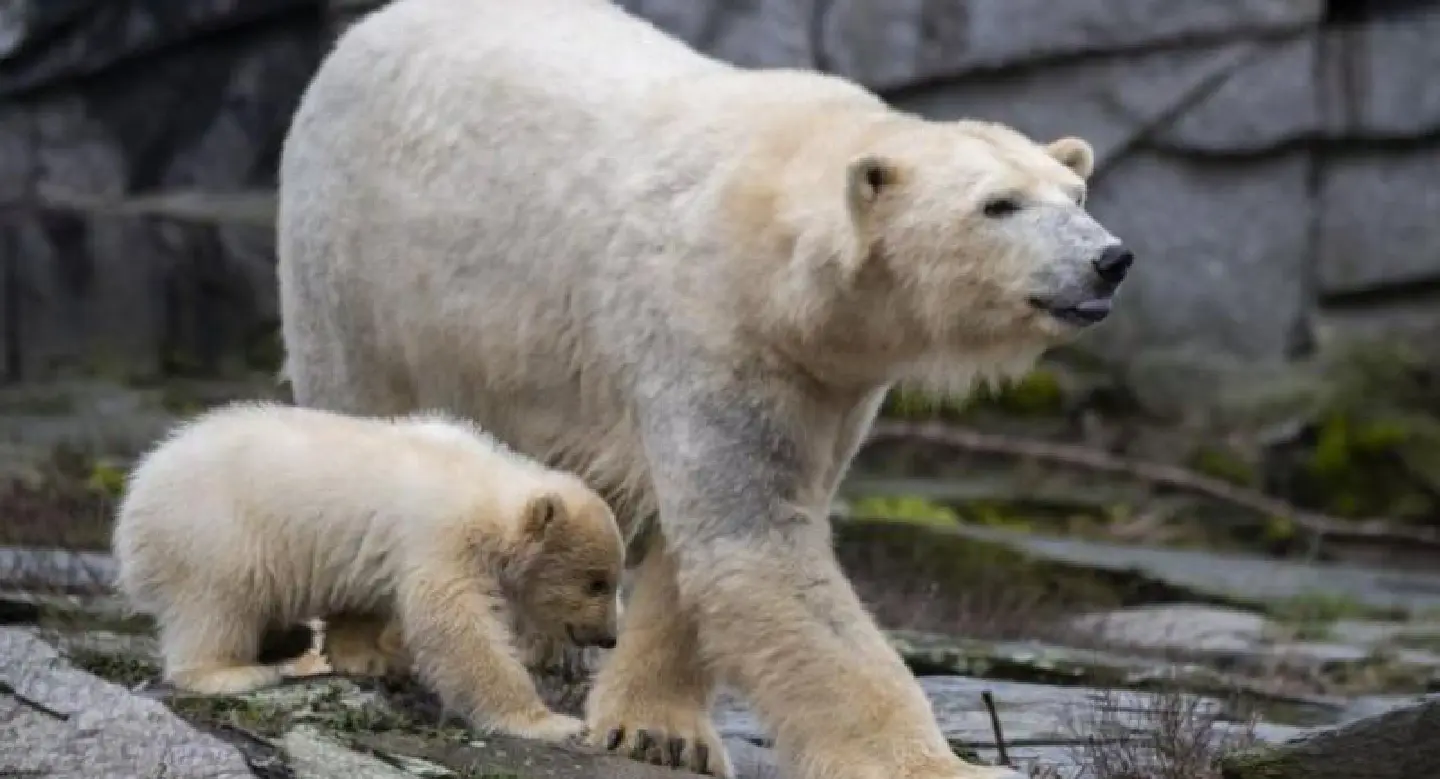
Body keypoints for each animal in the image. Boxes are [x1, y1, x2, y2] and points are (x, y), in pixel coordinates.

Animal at [111, 401, 626, 743]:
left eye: (614, 580)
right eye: (596, 582)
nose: (609, 638)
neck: (482, 485)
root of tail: (135, 500)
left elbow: (360, 600)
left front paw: (371, 659)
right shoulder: (441, 539)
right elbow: (457, 629)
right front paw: (551, 722)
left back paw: (286, 639)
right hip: (215, 532)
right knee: (217, 602)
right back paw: (232, 672)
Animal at [275, 0, 1133, 776]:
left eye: (1075, 195)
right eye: (998, 204)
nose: (1110, 260)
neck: (775, 255)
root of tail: (365, 28)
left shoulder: (829, 378)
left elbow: (710, 551)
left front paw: (659, 730)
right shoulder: (711, 329)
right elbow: (756, 543)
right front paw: (942, 764)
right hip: (356, 260)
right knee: (359, 403)